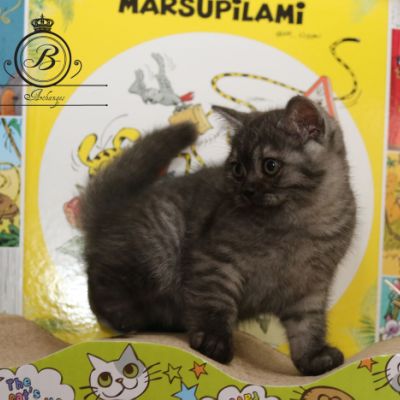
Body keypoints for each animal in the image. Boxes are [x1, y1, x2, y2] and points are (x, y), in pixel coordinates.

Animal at [80, 96, 356, 376]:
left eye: (270, 166)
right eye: (237, 169)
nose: (246, 190)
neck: (300, 222)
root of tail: (114, 211)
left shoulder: (310, 287)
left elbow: (308, 326)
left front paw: (313, 359)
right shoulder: (216, 259)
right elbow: (216, 303)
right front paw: (213, 342)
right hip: (158, 245)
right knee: (100, 277)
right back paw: (123, 317)